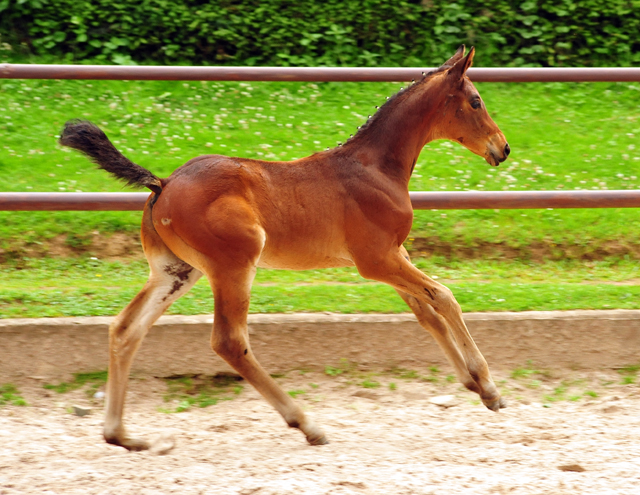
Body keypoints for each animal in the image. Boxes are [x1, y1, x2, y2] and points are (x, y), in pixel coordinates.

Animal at [61, 44, 510, 452]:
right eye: (476, 101)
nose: (502, 148)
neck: (376, 168)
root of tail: (163, 184)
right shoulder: (376, 260)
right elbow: (444, 297)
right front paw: (488, 384)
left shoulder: (392, 255)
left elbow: (426, 312)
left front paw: (475, 385)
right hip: (235, 264)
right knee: (229, 342)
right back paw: (307, 424)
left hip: (176, 272)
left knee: (125, 329)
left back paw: (122, 436)